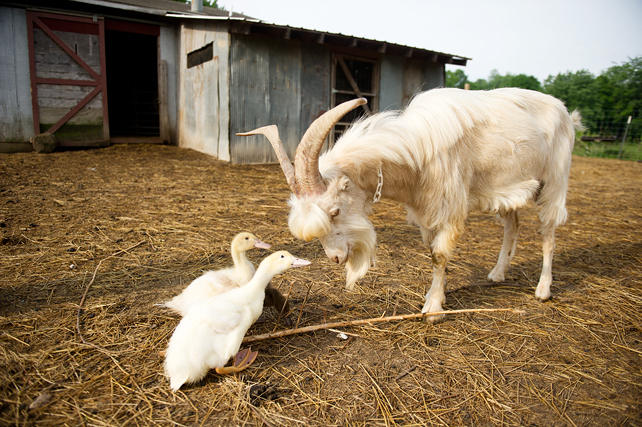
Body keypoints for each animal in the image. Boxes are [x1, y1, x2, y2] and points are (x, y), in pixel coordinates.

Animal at [239, 88, 580, 324]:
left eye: (334, 212)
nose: (335, 259)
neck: (417, 151)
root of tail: (565, 111)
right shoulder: (426, 209)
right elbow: (431, 252)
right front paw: (435, 295)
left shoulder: (449, 206)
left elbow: (440, 254)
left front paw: (433, 309)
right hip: (508, 187)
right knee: (513, 225)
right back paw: (497, 273)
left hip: (554, 180)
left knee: (548, 234)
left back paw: (543, 289)